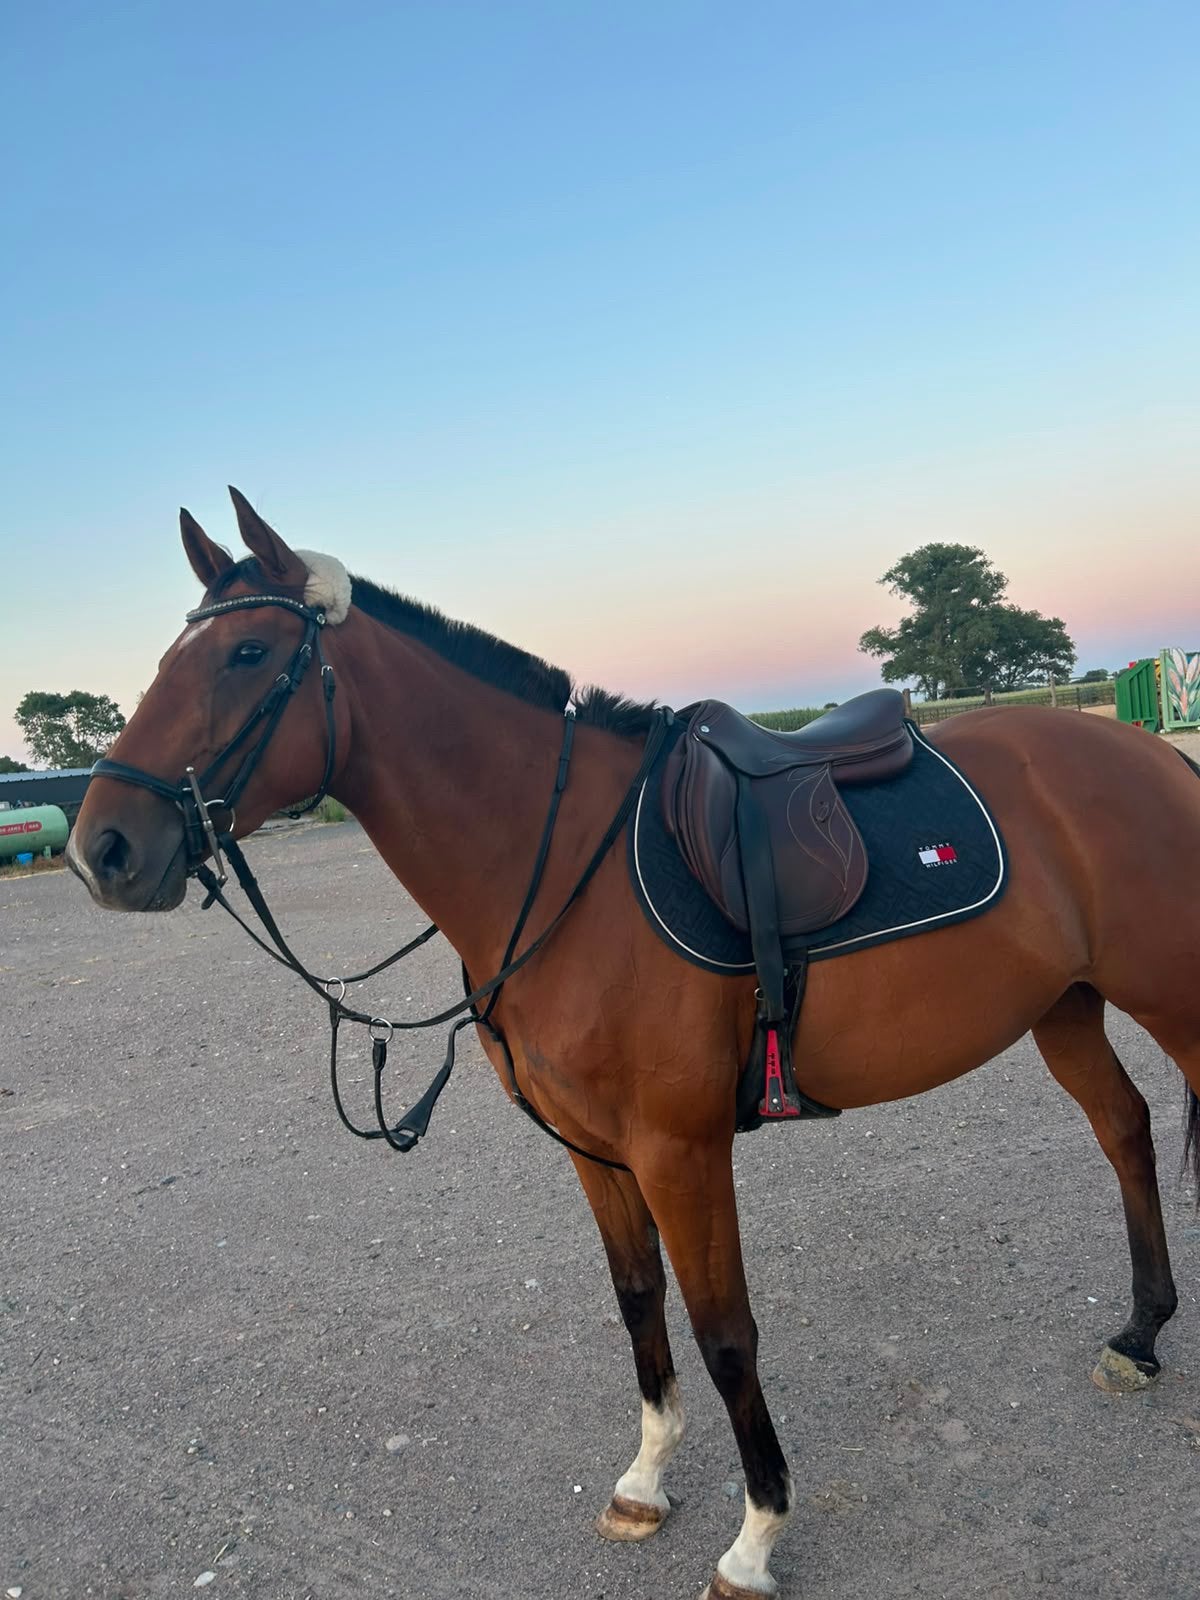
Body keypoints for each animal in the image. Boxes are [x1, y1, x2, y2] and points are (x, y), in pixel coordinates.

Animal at [67, 488, 1200, 1600]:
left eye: (248, 653)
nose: (101, 851)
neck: (566, 865)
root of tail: (1150, 749)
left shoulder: (678, 1149)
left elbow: (725, 1332)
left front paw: (756, 1536)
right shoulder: (595, 1149)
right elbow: (638, 1303)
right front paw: (648, 1479)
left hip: (1169, 1001)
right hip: (1065, 1006)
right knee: (1125, 1128)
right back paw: (1141, 1336)